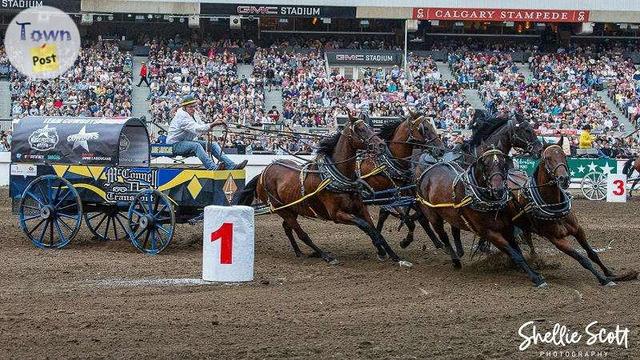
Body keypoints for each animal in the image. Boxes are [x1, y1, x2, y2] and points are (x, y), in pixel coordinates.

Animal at [238, 114, 412, 266]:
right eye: (360, 129)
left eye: (370, 127)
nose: (381, 144)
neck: (339, 177)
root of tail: (263, 173)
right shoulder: (337, 215)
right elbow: (366, 227)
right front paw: (381, 250)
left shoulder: (362, 208)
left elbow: (375, 229)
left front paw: (393, 255)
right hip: (282, 209)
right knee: (302, 234)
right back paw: (325, 256)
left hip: (292, 208)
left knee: (287, 229)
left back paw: (299, 252)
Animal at [358, 112, 448, 250]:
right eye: (424, 128)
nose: (442, 149)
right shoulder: (389, 197)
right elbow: (406, 219)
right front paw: (404, 241)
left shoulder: (398, 195)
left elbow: (400, 216)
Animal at [510, 139, 636, 286]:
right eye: (547, 158)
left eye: (564, 155)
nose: (563, 178)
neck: (554, 207)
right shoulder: (557, 240)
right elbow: (582, 259)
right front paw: (603, 279)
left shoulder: (578, 230)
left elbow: (592, 253)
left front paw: (609, 273)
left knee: (528, 238)